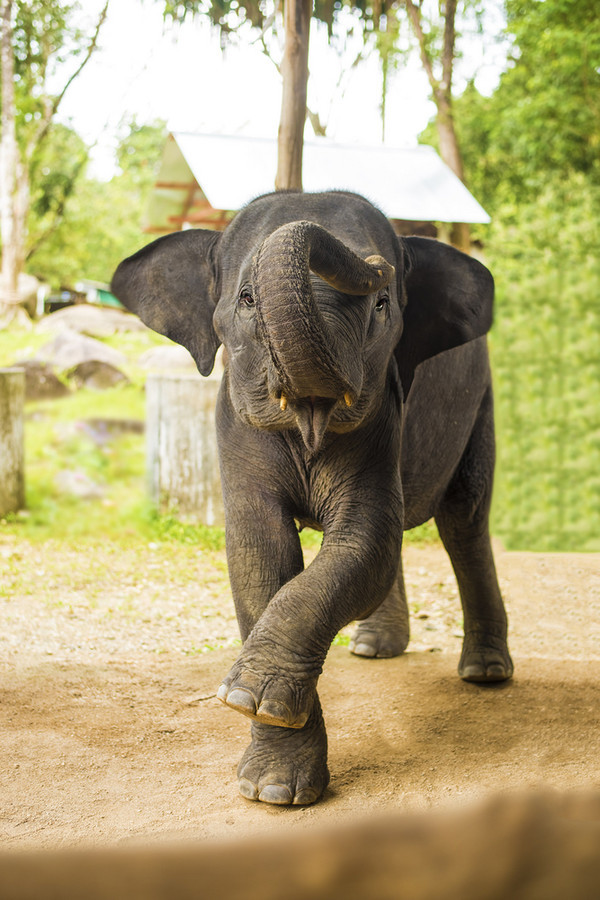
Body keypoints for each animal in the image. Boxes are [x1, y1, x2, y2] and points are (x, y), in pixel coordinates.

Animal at [111, 192, 510, 808]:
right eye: (247, 298)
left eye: (382, 305)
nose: (382, 265)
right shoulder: (233, 427)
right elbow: (261, 553)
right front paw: (272, 785)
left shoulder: (384, 414)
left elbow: (364, 538)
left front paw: (252, 699)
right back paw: (375, 647)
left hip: (481, 399)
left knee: (463, 517)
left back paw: (486, 673)